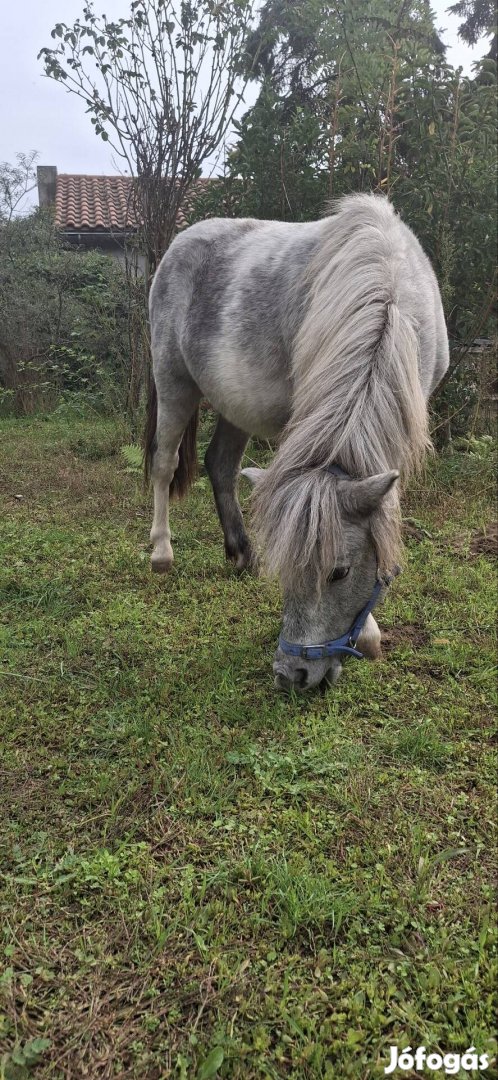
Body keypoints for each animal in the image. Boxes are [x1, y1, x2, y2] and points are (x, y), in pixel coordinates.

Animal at [145, 194, 449, 691]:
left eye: (340, 572)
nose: (293, 675)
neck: (389, 289)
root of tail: (179, 244)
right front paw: (369, 632)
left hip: (234, 405)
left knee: (220, 465)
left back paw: (241, 554)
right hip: (174, 382)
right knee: (164, 464)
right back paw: (161, 553)